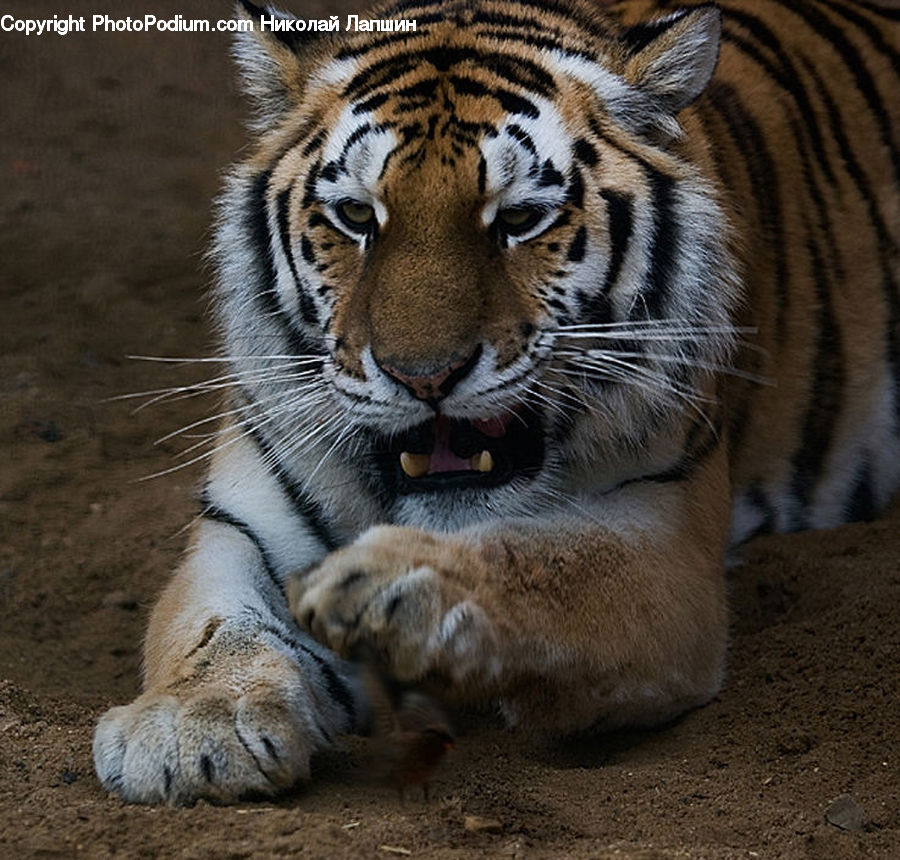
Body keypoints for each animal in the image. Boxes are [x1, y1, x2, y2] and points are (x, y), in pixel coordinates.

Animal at [92, 0, 899, 804]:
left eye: (517, 220)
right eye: (355, 216)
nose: (424, 377)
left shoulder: (669, 542)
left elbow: (547, 561)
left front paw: (394, 589)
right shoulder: (241, 527)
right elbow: (214, 626)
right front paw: (196, 726)